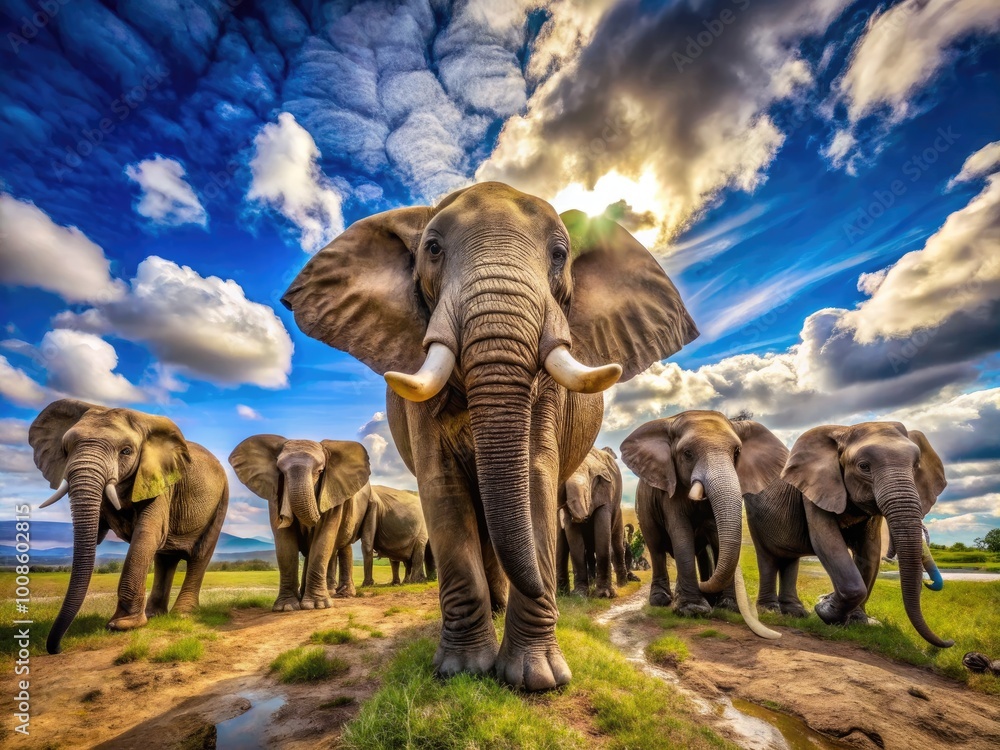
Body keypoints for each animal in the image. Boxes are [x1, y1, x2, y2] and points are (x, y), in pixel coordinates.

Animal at [29, 399, 228, 654]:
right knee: (165, 558)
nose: (56, 648)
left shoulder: (160, 481)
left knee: (199, 555)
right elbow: (98, 533)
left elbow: (147, 534)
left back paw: (182, 615)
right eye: (65, 449)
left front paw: (122, 626)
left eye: (126, 451)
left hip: (221, 501)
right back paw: (154, 616)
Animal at [229, 435, 371, 611]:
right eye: (280, 471)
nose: (284, 516)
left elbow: (324, 538)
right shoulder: (274, 494)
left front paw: (317, 605)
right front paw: (286, 607)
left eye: (320, 471)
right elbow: (285, 544)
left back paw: (342, 595)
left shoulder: (333, 492)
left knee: (342, 546)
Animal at [555, 447, 630, 598]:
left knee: (617, 545)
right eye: (565, 490)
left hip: (618, 512)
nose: (583, 518)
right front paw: (579, 595)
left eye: (586, 491)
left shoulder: (604, 491)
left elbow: (602, 532)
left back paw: (623, 585)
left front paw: (604, 595)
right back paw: (562, 594)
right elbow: (573, 538)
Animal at [621, 411, 787, 638]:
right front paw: (693, 610)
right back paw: (661, 600)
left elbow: (716, 534)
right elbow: (681, 532)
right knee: (656, 547)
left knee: (700, 552)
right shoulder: (671, 490)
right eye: (687, 453)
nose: (777, 635)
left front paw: (727, 606)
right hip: (644, 509)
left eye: (737, 452)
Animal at [743, 421, 953, 647]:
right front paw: (824, 608)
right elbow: (827, 543)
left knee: (789, 559)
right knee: (768, 556)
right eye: (864, 466)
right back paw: (770, 610)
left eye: (915, 467)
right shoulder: (817, 490)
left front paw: (858, 621)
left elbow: (870, 552)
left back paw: (796, 613)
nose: (949, 641)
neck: (844, 430)